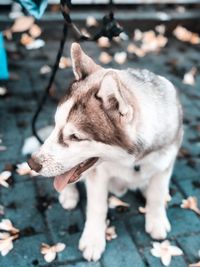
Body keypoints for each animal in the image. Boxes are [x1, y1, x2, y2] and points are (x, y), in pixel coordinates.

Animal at [28, 43, 183, 262]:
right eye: (56, 124)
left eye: (75, 137)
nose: (32, 163)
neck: (132, 160)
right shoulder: (98, 176)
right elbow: (97, 207)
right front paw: (94, 239)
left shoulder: (165, 162)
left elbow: (157, 193)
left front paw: (156, 219)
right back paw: (68, 194)